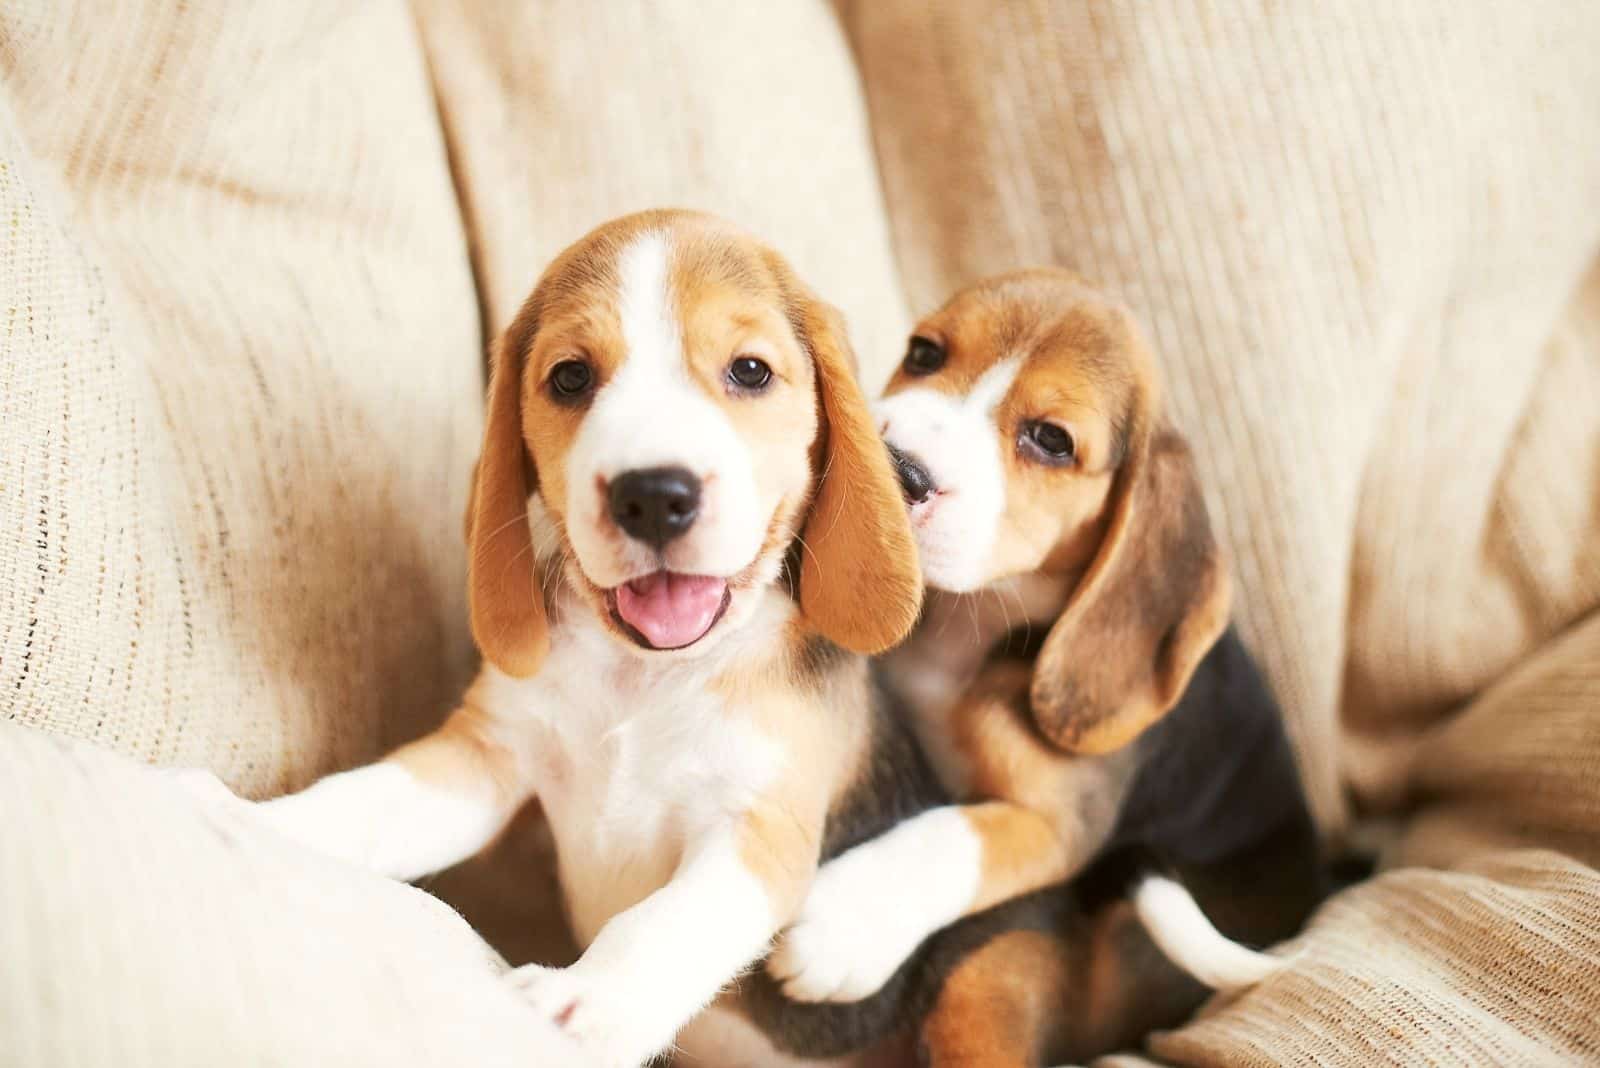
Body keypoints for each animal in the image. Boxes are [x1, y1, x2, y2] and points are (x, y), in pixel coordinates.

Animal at [192, 211, 934, 1068]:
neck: (642, 678)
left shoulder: (758, 828)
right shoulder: (485, 758)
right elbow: (367, 800)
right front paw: (253, 822)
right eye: (571, 378)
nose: (654, 495)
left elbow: (661, 925)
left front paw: (586, 999)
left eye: (750, 371)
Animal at [748, 271, 1324, 1061]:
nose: (897, 470)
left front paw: (844, 924)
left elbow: (951, 836)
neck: (965, 626)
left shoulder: (1054, 822)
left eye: (1051, 440)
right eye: (924, 353)